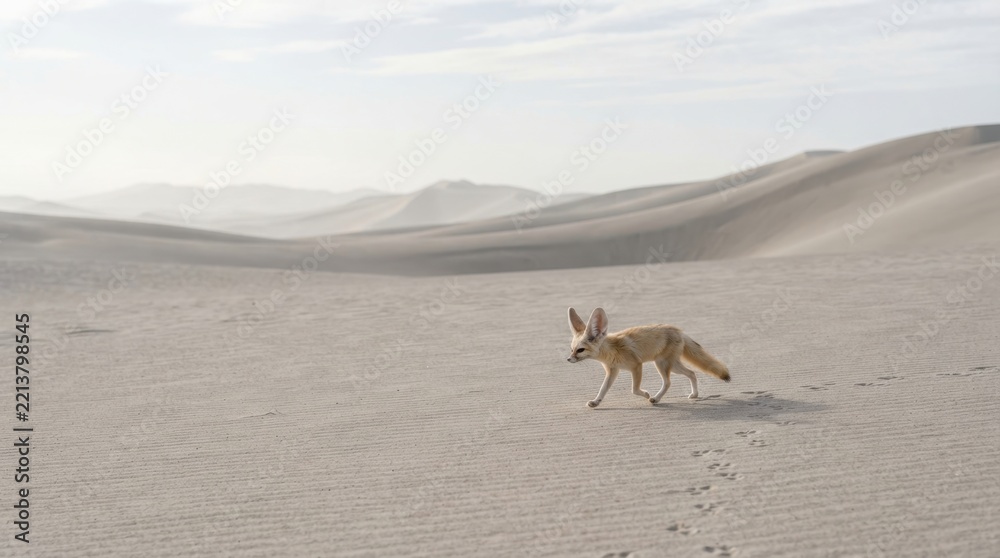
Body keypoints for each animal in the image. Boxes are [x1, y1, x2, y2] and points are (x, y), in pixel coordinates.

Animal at [566, 307, 730, 408]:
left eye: (580, 350)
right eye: (571, 349)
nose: (568, 359)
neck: (612, 350)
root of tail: (679, 331)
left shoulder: (636, 366)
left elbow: (634, 389)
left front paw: (646, 394)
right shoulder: (613, 371)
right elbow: (602, 389)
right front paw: (596, 402)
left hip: (662, 364)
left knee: (669, 382)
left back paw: (656, 398)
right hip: (673, 366)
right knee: (692, 373)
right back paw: (694, 394)